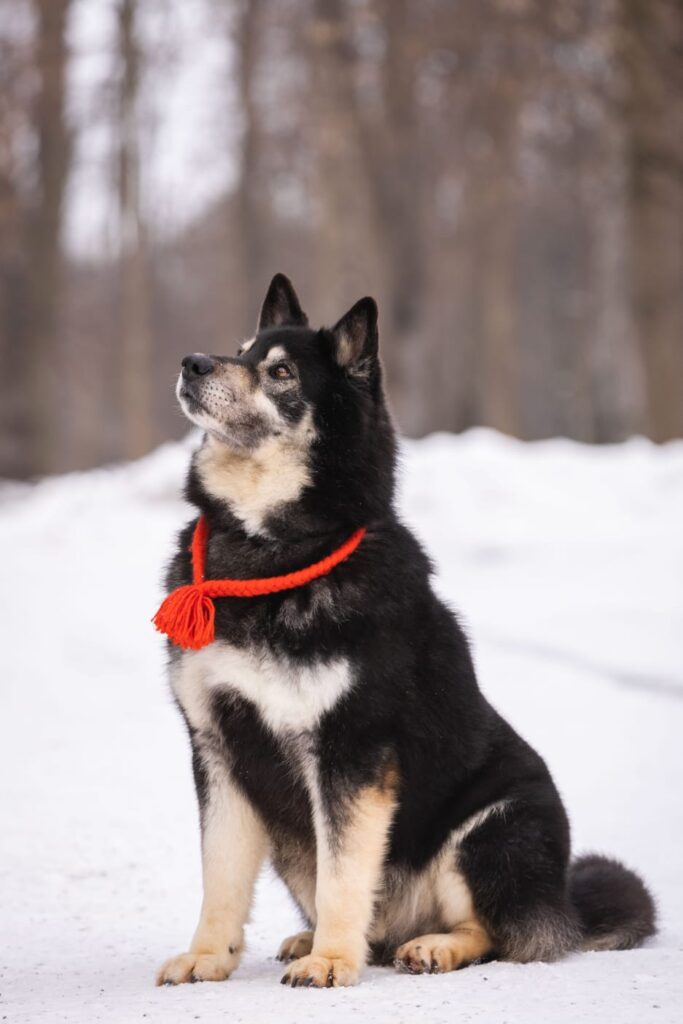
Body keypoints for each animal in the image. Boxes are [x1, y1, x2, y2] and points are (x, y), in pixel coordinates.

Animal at [156, 274, 655, 988]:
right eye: (240, 347)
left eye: (279, 372)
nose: (193, 363)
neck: (272, 554)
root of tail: (563, 902)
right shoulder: (219, 748)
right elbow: (219, 874)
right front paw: (207, 955)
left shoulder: (352, 752)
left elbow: (344, 875)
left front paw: (333, 962)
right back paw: (312, 938)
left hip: (494, 827)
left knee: (495, 932)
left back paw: (430, 946)